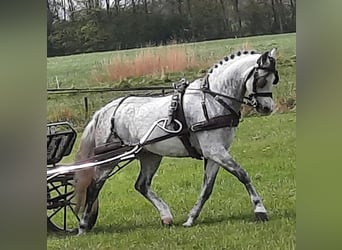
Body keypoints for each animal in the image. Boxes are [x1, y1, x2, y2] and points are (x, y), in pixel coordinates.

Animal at [73, 48, 280, 234]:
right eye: (262, 80)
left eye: (274, 80)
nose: (268, 108)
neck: (212, 101)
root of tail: (105, 110)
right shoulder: (214, 150)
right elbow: (242, 174)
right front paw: (260, 210)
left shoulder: (215, 153)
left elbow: (207, 188)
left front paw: (191, 218)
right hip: (109, 159)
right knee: (94, 187)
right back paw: (83, 225)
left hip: (150, 155)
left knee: (141, 185)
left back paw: (166, 216)